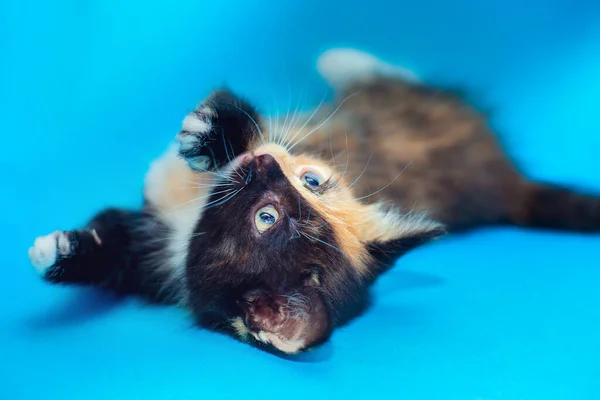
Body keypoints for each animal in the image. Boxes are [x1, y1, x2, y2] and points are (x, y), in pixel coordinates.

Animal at [27, 49, 600, 354]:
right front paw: (212, 129)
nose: (262, 164)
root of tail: (511, 182)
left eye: (267, 218)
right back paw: (343, 60)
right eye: (312, 181)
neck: (188, 216)